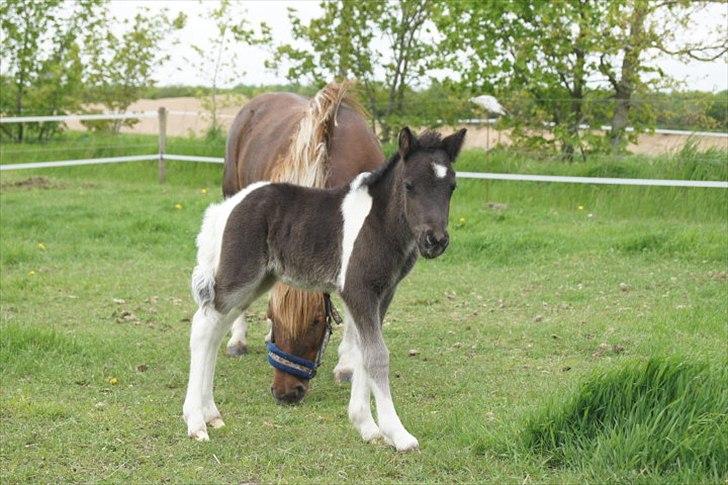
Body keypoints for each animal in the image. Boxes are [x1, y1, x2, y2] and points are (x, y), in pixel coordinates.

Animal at [182, 125, 466, 450]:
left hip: (256, 282)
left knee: (215, 331)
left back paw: (211, 414)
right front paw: (398, 434)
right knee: (203, 328)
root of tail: (226, 207)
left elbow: (361, 353)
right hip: (239, 275)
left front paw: (367, 427)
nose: (435, 241)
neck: (379, 223)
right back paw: (195, 422)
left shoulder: (382, 294)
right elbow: (377, 355)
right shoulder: (358, 290)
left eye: (452, 186)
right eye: (409, 185)